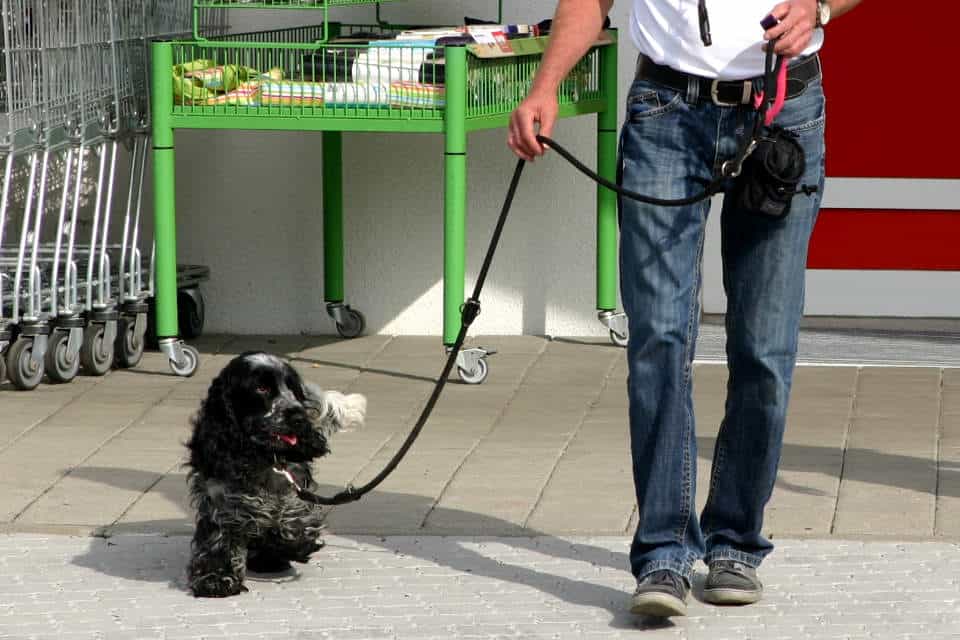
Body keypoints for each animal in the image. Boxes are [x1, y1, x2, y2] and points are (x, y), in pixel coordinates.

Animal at [186, 352, 366, 596]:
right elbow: (219, 536)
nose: (299, 416)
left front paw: (288, 545)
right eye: (261, 388)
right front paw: (216, 578)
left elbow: (291, 523)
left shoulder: (293, 488)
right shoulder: (220, 498)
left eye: (293, 388)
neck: (261, 456)